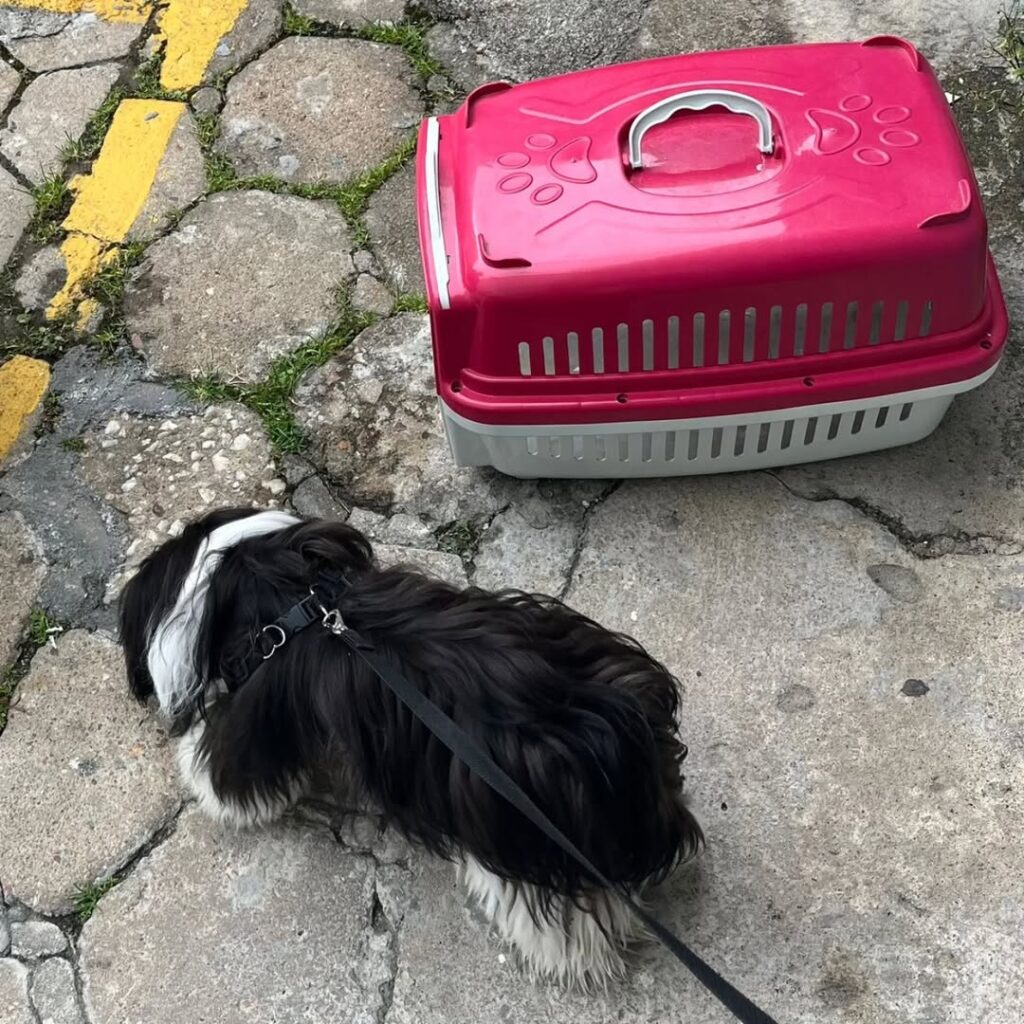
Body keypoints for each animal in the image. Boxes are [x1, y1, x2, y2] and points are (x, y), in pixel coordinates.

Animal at [116, 507, 700, 987]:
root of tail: (617, 737)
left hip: (526, 842)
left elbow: (226, 772)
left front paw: (199, 779)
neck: (287, 596)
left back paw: (564, 960)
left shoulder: (255, 720)